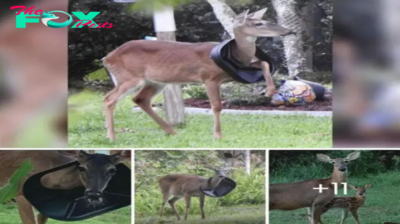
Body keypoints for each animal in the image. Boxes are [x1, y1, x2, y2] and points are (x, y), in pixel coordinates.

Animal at [101, 8, 296, 140]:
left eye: (263, 20)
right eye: (258, 23)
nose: (289, 31)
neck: (236, 54)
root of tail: (107, 58)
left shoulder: (235, 71)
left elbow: (263, 63)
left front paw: (270, 91)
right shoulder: (209, 78)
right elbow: (216, 106)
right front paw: (218, 135)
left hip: (155, 81)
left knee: (140, 99)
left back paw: (172, 131)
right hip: (129, 77)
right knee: (109, 99)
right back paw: (111, 136)